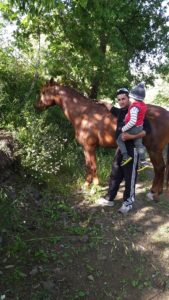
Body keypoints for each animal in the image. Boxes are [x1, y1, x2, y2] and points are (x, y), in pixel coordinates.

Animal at [36, 78, 169, 198]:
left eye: (43, 92)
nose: (36, 106)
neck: (83, 113)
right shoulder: (85, 148)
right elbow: (88, 166)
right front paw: (86, 185)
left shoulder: (90, 147)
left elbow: (93, 167)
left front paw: (94, 188)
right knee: (159, 168)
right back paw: (155, 191)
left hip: (154, 150)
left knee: (160, 168)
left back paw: (155, 192)